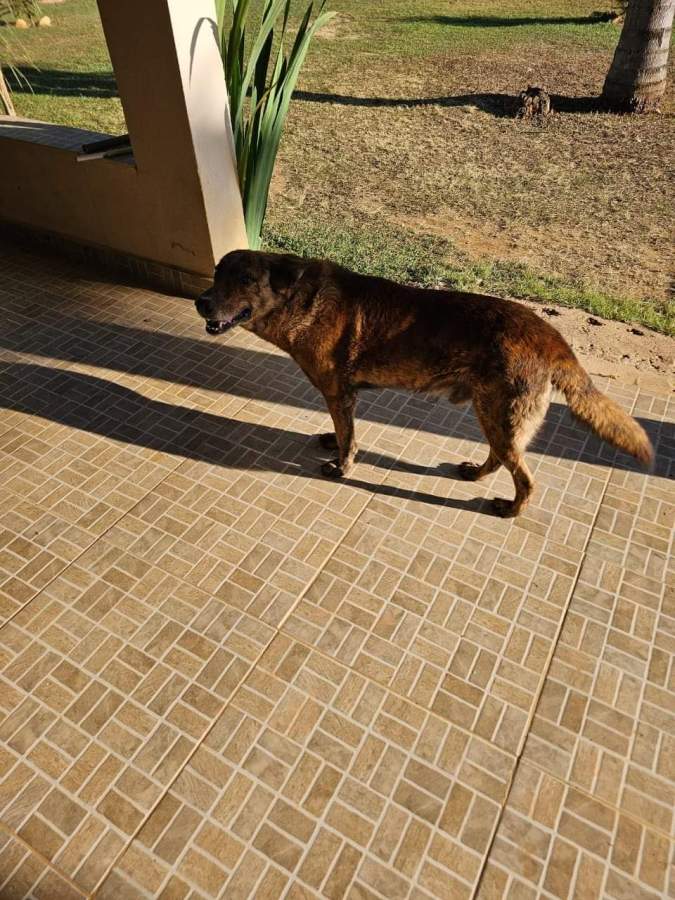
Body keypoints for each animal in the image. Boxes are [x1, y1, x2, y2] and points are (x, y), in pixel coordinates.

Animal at [196, 250, 653, 517]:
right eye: (217, 273)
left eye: (245, 280)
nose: (200, 302)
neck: (301, 298)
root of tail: (553, 338)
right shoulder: (342, 398)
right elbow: (343, 431)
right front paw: (332, 442)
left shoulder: (340, 394)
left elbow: (349, 438)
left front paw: (343, 466)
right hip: (493, 413)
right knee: (498, 457)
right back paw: (475, 475)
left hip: (500, 417)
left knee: (525, 478)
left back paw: (509, 509)